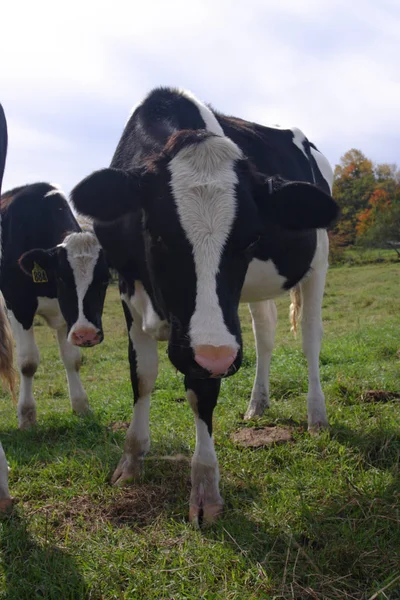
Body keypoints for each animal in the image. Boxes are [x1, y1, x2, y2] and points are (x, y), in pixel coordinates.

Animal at [0, 180, 109, 428]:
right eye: (61, 278)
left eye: (105, 279)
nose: (87, 334)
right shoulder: (18, 305)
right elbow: (28, 362)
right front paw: (27, 416)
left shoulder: (66, 316)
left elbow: (72, 359)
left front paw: (80, 405)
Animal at [71, 86, 338, 524]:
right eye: (157, 234)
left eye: (252, 238)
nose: (219, 357)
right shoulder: (127, 293)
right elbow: (141, 376)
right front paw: (131, 460)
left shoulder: (210, 342)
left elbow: (201, 391)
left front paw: (205, 489)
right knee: (265, 333)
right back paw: (257, 404)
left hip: (318, 262)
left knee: (310, 338)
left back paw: (317, 417)